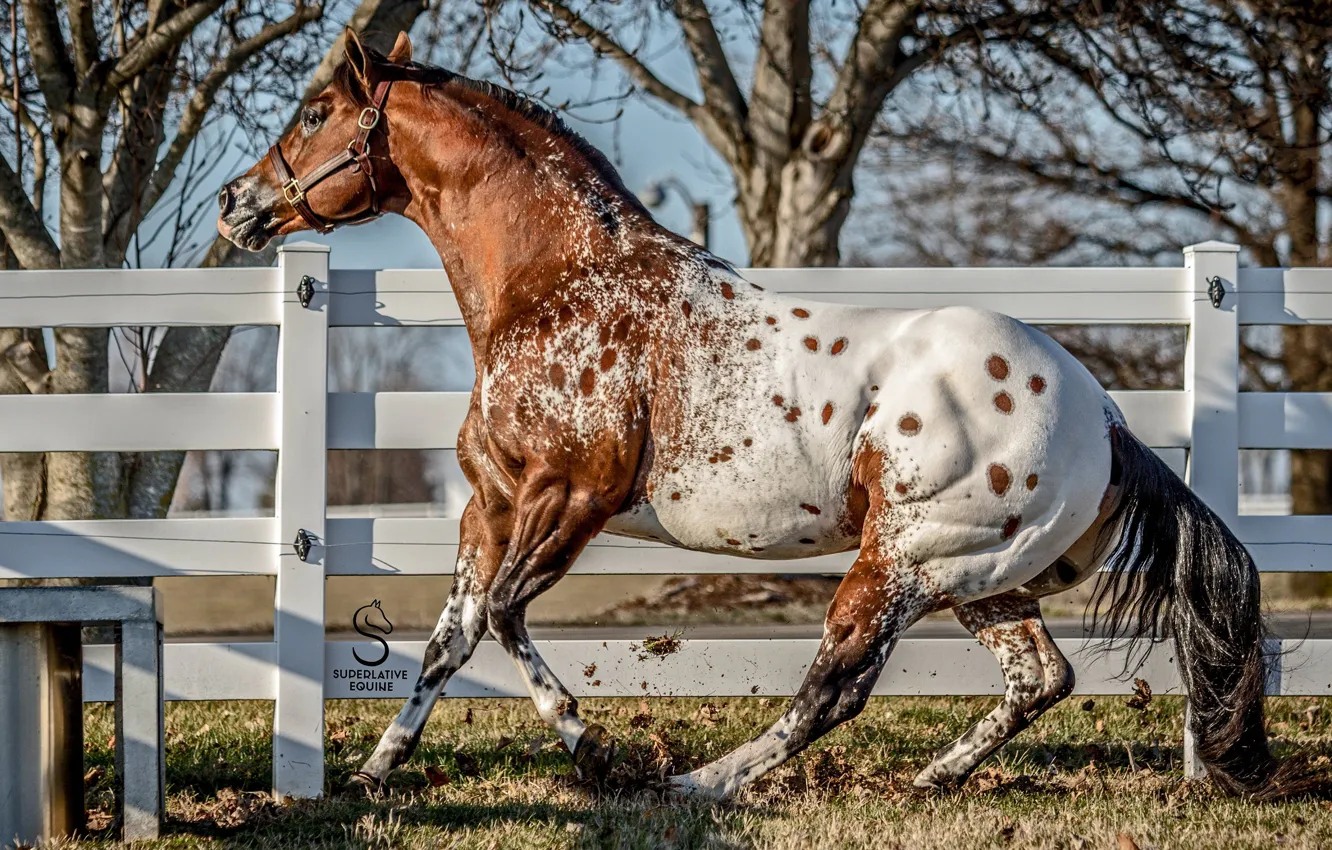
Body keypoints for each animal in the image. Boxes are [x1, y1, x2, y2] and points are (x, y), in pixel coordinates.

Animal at [217, 29, 1290, 800]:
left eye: (315, 111)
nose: (235, 204)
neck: (555, 285)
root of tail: (1103, 415)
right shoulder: (493, 503)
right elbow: (454, 635)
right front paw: (373, 772)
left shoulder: (571, 496)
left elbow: (505, 614)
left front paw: (597, 754)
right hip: (984, 575)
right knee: (1040, 679)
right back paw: (931, 777)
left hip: (904, 562)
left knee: (835, 688)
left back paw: (703, 784)